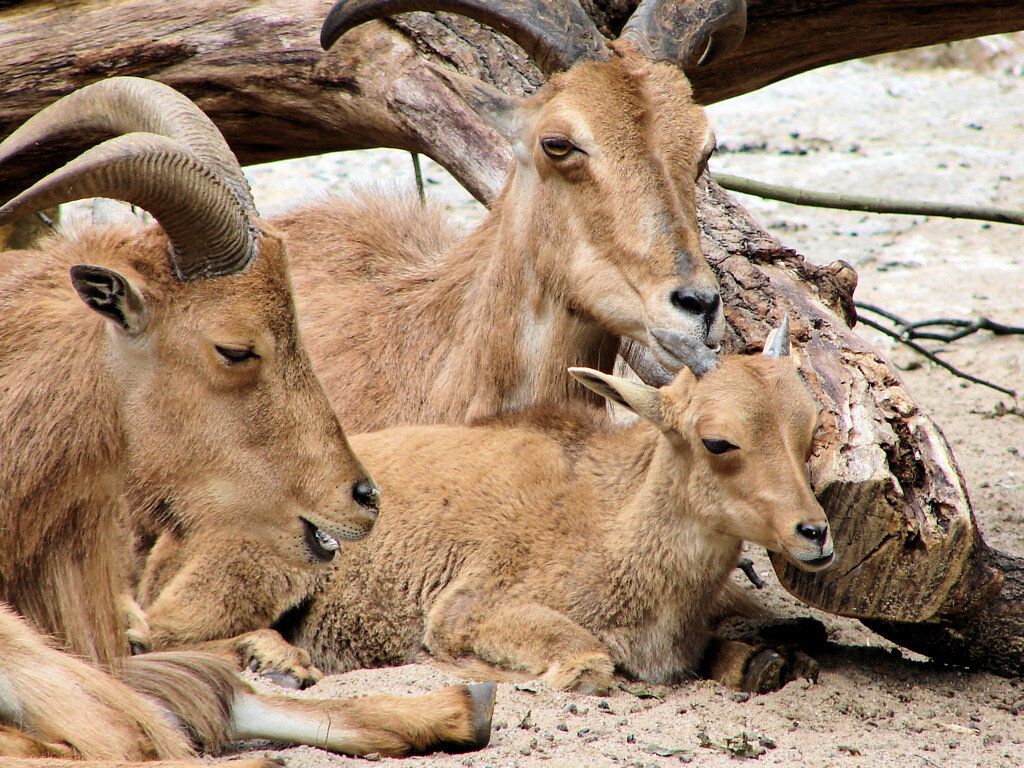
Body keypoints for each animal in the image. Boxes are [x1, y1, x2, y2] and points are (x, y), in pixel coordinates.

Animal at [288, 321, 831, 696]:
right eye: (717, 441)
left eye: (809, 428)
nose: (814, 534)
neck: (609, 522)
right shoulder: (470, 607)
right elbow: (585, 664)